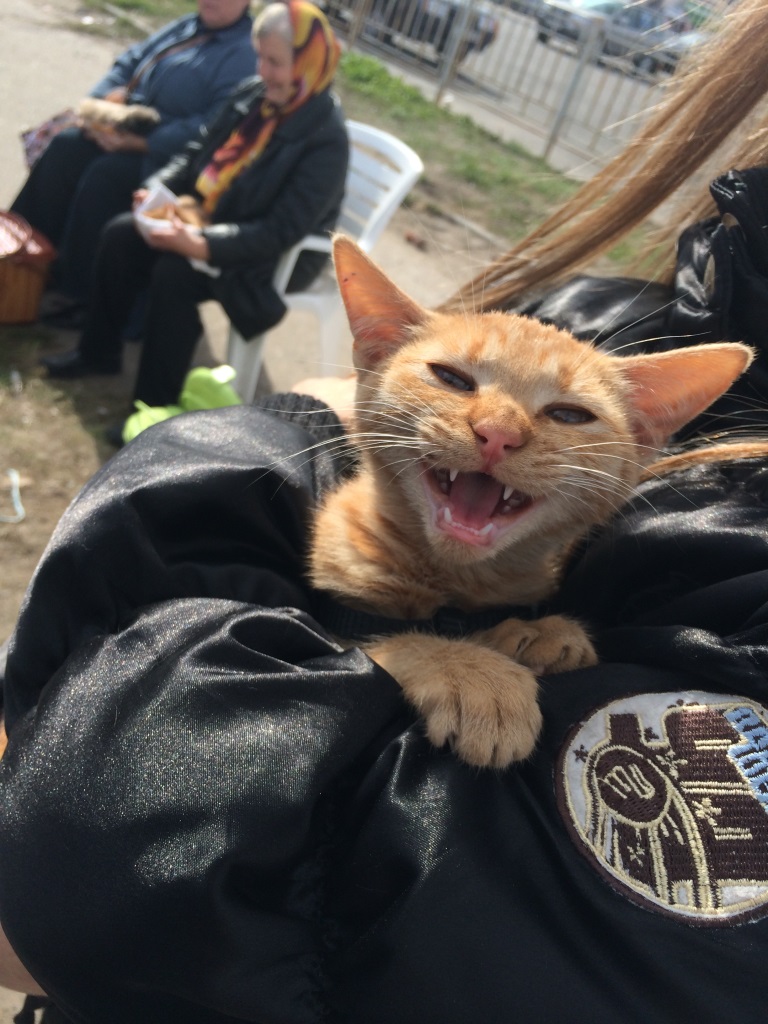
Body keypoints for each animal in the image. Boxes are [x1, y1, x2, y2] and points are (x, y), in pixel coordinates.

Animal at [307, 235, 753, 769]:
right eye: (451, 378)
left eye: (569, 415)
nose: (498, 433)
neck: (455, 589)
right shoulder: (336, 628)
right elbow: (382, 643)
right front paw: (472, 672)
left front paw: (541, 634)